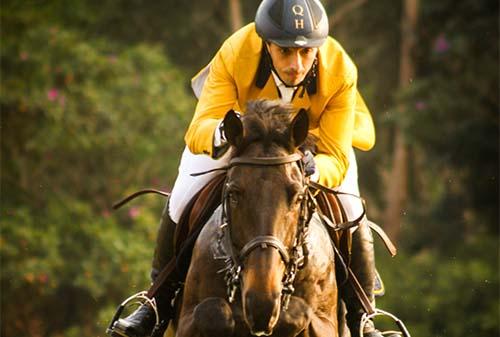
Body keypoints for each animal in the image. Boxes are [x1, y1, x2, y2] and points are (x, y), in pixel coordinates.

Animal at [172, 100, 344, 336]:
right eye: (233, 194)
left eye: (298, 197)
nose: (262, 303)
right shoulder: (187, 318)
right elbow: (212, 311)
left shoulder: (324, 321)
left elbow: (299, 313)